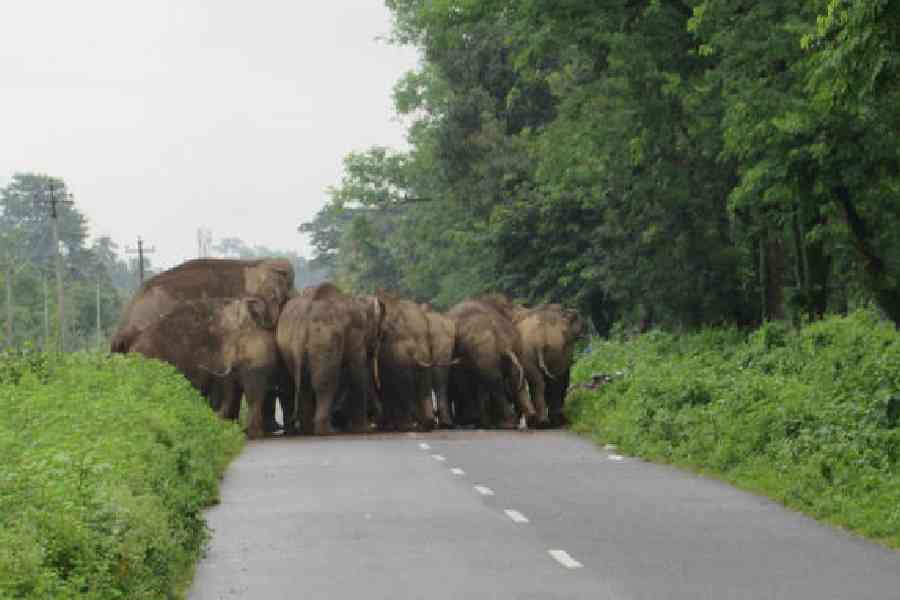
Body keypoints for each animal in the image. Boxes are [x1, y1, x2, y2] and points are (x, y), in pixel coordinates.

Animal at [275, 283, 384, 435]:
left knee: (303, 385)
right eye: (379, 334)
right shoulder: (356, 333)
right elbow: (358, 374)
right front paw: (364, 430)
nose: (376, 421)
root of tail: (303, 321)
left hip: (290, 348)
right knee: (326, 383)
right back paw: (327, 431)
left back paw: (309, 430)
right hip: (325, 340)